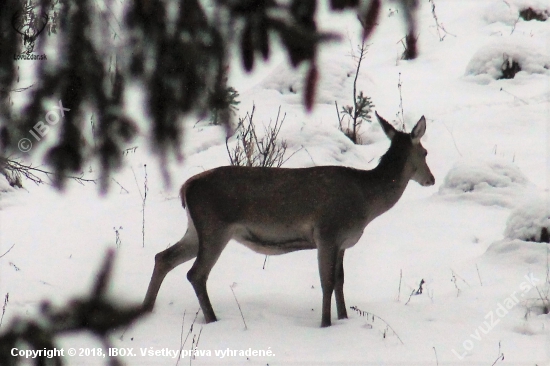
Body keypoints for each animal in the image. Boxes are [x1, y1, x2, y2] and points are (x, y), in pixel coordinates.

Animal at [143, 113, 436, 328]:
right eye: (425, 152)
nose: (431, 179)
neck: (366, 201)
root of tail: (185, 187)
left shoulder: (342, 242)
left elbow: (340, 281)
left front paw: (343, 318)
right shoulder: (327, 232)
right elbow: (327, 282)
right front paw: (325, 325)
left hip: (196, 230)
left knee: (163, 257)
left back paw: (147, 308)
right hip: (215, 227)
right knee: (195, 273)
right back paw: (213, 320)